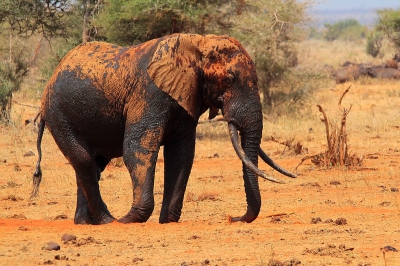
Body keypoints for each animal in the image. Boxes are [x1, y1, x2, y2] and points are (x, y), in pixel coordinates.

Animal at [31, 33, 296, 224]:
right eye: (229, 79)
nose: (234, 218)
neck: (198, 44)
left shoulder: (188, 98)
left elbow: (181, 156)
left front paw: (167, 221)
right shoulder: (149, 93)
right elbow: (137, 148)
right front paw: (131, 219)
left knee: (91, 164)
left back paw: (86, 223)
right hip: (58, 114)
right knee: (84, 160)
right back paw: (109, 221)